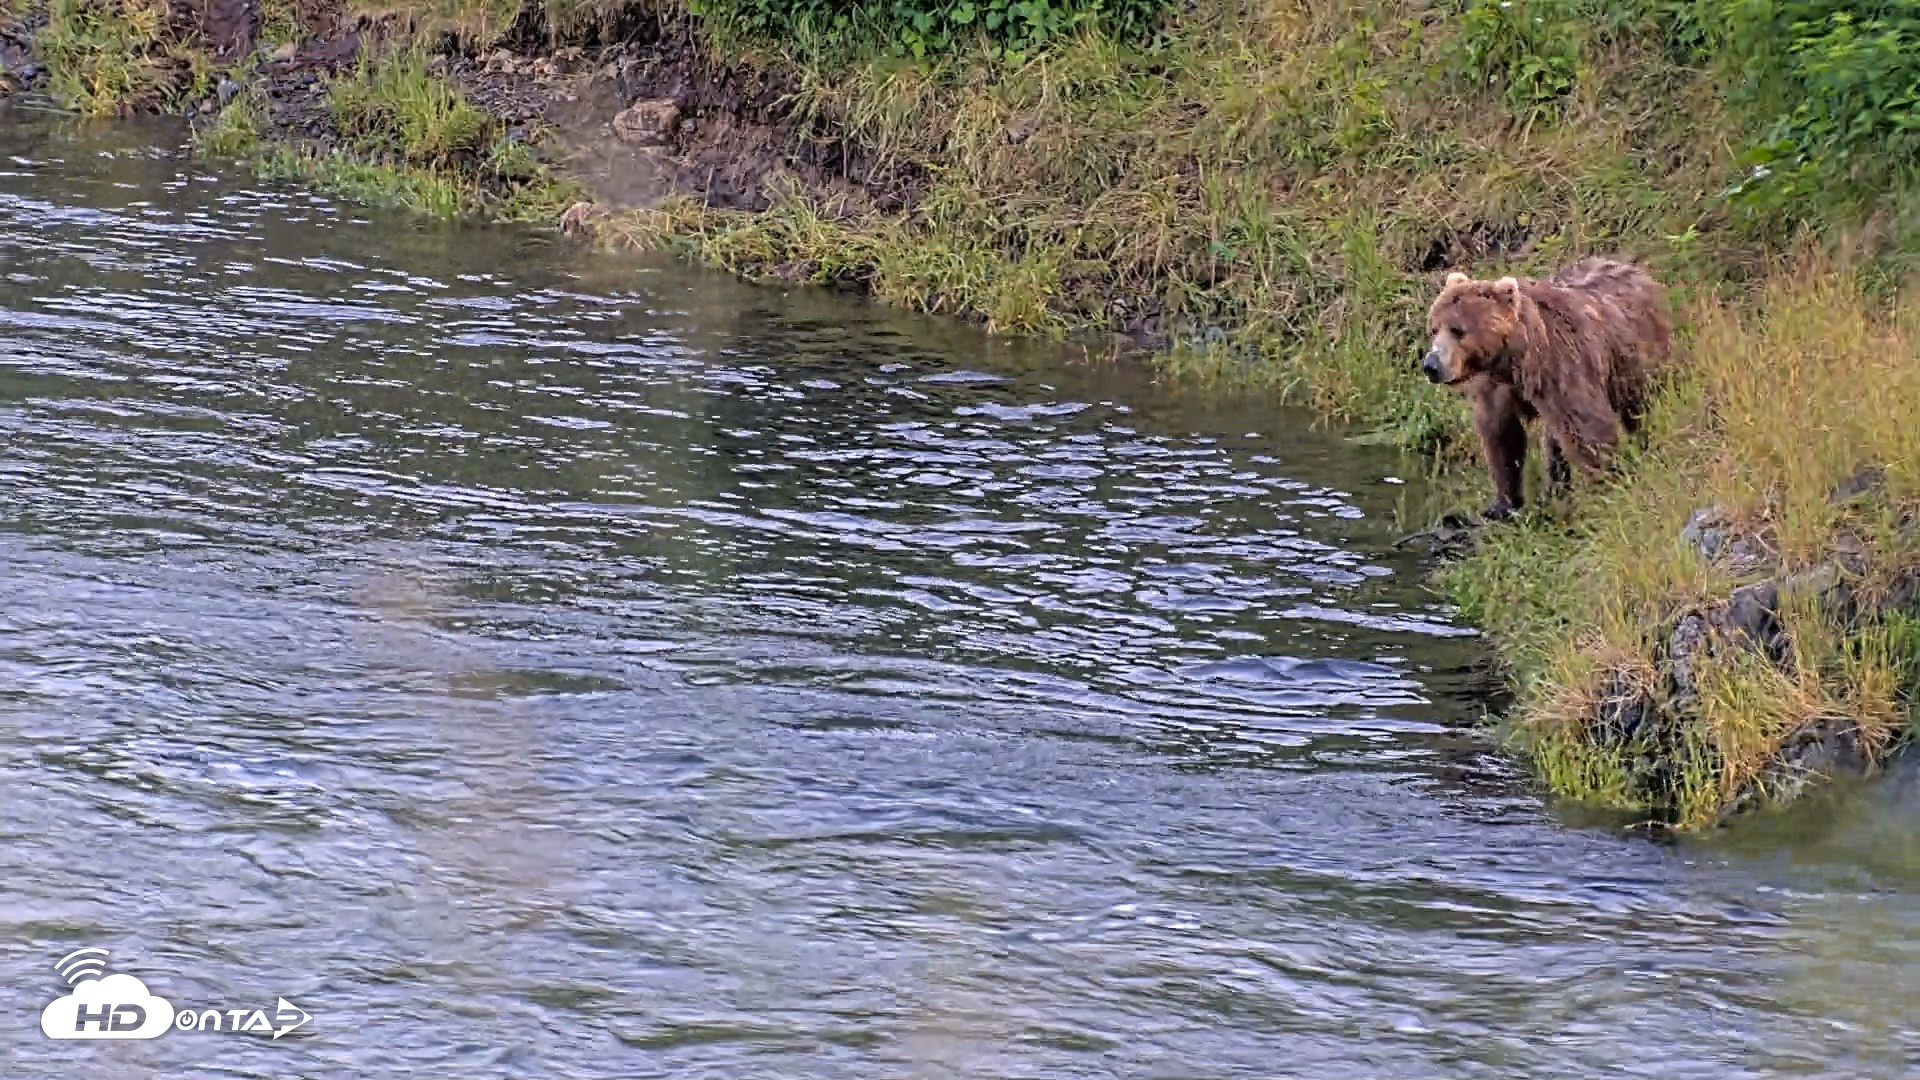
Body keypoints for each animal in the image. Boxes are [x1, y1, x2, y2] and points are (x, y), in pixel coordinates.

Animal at [1420, 256, 1672, 521]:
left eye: (1458, 330)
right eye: (1434, 328)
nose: (1431, 365)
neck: (1511, 361)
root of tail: (1632, 267)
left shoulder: (1560, 367)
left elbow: (1587, 426)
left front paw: (1609, 480)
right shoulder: (1494, 385)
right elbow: (1501, 436)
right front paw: (1502, 503)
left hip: (1636, 360)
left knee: (1640, 409)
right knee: (1555, 439)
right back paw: (1556, 488)